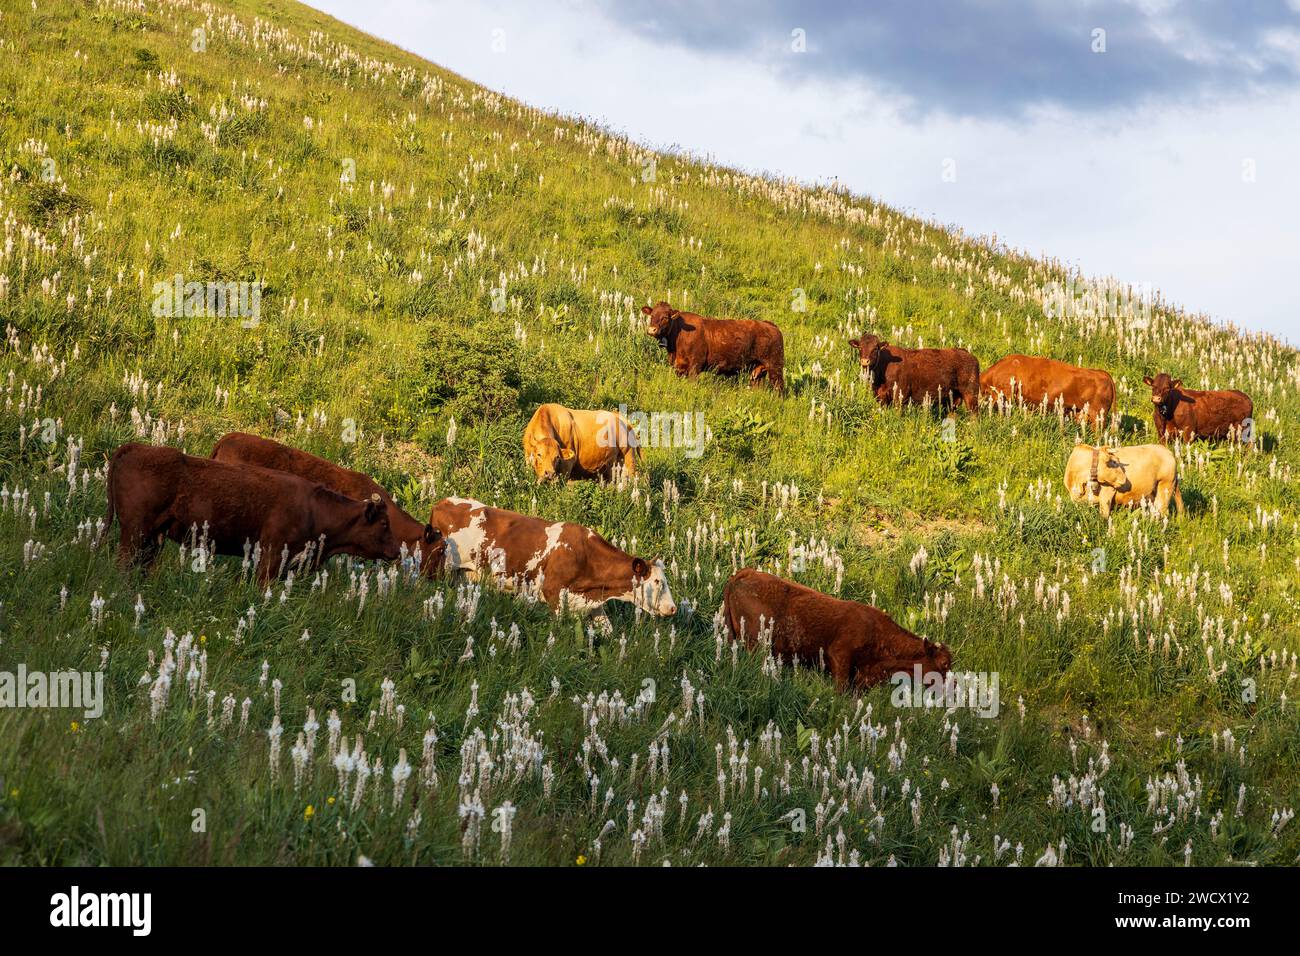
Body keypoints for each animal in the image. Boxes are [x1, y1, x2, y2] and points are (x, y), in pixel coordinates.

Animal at [106, 443, 401, 585]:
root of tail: (136, 447)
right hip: (134, 533)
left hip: (151, 539)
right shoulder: (270, 559)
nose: (397, 551)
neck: (314, 508)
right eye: (384, 524)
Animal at [429, 497, 676, 619]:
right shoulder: (553, 593)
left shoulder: (592, 602)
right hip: (443, 565)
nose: (673, 608)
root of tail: (443, 501)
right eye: (658, 582)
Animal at [642, 301, 785, 393]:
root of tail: (770, 325)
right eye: (652, 315)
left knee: (779, 388)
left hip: (775, 367)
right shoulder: (679, 368)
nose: (652, 330)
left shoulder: (695, 366)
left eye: (665, 317)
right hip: (757, 370)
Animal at [848, 334, 980, 412]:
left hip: (970, 395)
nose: (865, 361)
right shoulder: (881, 397)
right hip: (954, 398)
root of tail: (968, 355)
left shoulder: (900, 396)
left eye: (875, 348)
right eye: (860, 347)